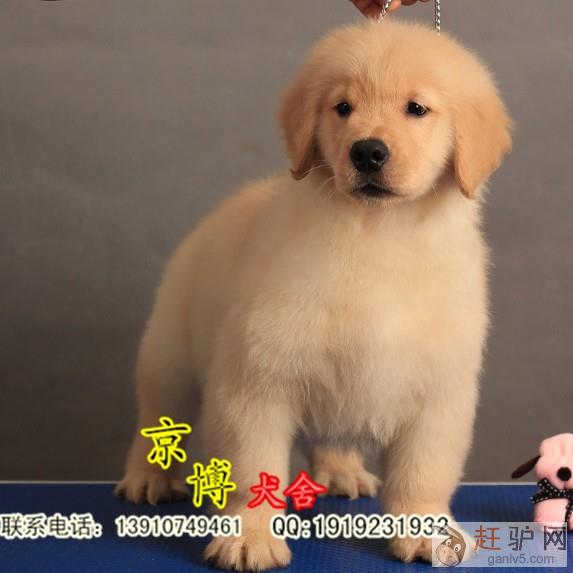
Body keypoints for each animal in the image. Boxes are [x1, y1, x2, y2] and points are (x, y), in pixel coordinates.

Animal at [116, 19, 512, 570]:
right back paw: (148, 478)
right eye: (342, 107)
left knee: (334, 432)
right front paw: (250, 537)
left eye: (416, 108)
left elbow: (423, 471)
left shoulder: (437, 391)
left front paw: (427, 531)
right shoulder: (256, 377)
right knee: (156, 418)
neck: (376, 233)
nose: (367, 151)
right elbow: (253, 466)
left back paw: (342, 470)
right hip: (168, 355)